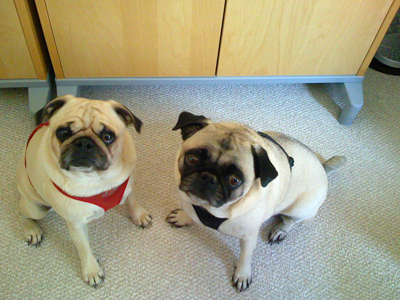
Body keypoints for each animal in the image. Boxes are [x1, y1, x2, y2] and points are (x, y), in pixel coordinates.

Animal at [16, 95, 152, 288]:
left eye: (108, 136)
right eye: (63, 133)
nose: (84, 143)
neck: (98, 178)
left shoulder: (128, 187)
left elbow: (132, 201)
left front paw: (139, 215)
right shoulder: (77, 224)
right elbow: (84, 249)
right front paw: (92, 270)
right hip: (36, 207)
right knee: (21, 212)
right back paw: (32, 230)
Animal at [167, 111, 346, 292]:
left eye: (234, 180)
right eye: (192, 159)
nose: (208, 178)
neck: (210, 209)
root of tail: (322, 166)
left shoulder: (248, 237)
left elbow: (245, 257)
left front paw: (242, 274)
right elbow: (190, 213)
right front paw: (183, 217)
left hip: (300, 209)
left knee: (290, 221)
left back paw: (280, 230)